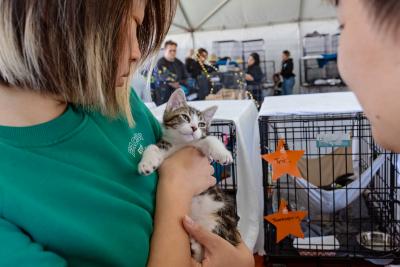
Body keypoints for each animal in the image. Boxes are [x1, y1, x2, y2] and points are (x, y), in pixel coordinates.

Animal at [138, 89, 241, 262]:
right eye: (185, 117)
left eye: (201, 124)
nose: (193, 128)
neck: (180, 143)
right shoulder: (165, 146)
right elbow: (152, 147)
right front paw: (146, 163)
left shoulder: (198, 146)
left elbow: (210, 139)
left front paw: (223, 154)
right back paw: (194, 244)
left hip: (219, 217)